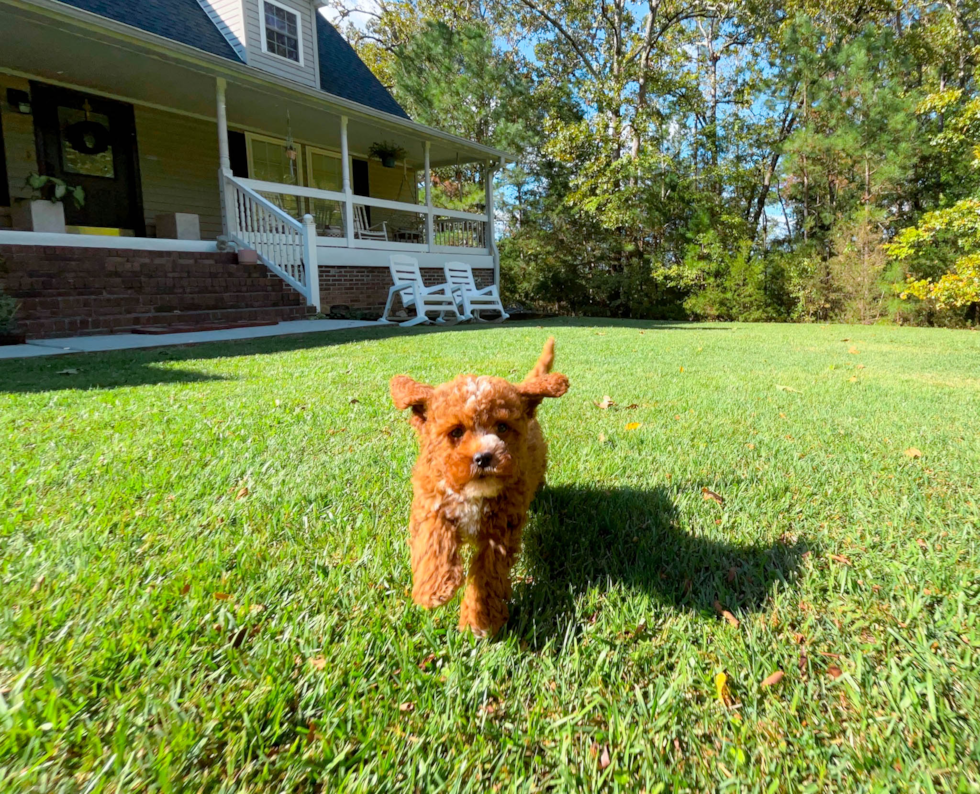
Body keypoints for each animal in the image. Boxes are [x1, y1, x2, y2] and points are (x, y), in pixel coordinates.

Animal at [390, 338, 572, 636]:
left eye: (502, 427)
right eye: (456, 432)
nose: (484, 457)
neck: (472, 494)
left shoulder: (499, 532)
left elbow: (487, 575)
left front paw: (480, 620)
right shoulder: (431, 502)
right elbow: (433, 540)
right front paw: (434, 588)